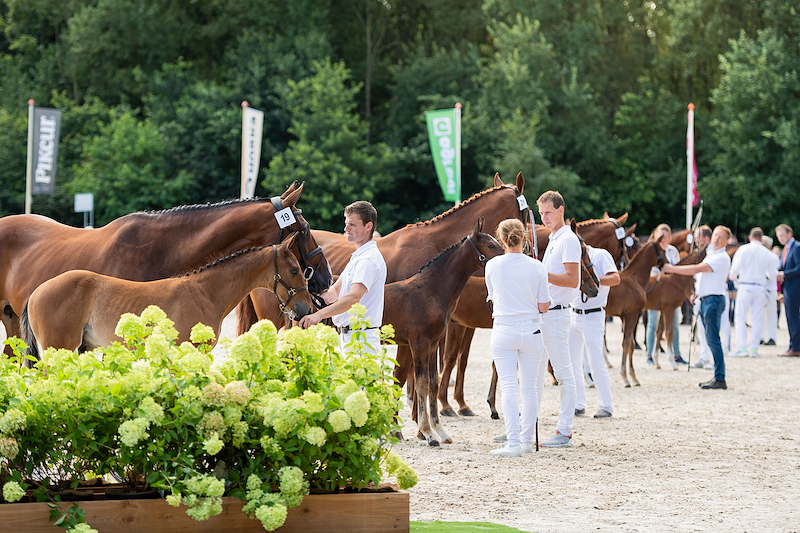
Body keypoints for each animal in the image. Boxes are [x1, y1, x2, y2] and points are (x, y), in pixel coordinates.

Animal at [384, 218, 503, 446]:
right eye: (491, 245)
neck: (429, 290)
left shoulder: (431, 344)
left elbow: (433, 382)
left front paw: (440, 431)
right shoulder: (419, 344)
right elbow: (421, 384)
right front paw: (429, 434)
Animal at [605, 239, 667, 387]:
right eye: (663, 251)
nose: (667, 264)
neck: (635, 279)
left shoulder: (625, 317)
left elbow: (632, 345)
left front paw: (633, 377)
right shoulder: (632, 315)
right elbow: (626, 344)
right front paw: (625, 377)